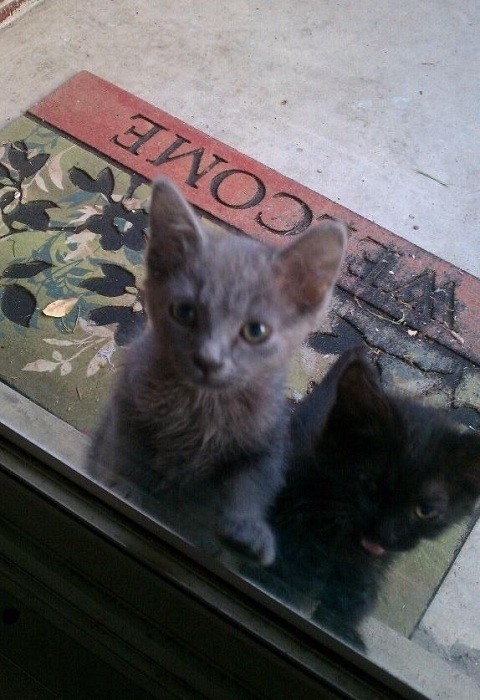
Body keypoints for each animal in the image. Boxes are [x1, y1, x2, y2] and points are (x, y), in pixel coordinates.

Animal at [87, 177, 347, 565]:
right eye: (184, 312)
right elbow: (126, 447)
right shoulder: (129, 398)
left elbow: (253, 482)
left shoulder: (269, 436)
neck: (201, 406)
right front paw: (124, 485)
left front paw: (246, 530)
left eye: (255, 331)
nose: (209, 359)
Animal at [242, 346, 480, 649]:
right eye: (368, 483)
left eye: (425, 511)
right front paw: (281, 584)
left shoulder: (375, 560)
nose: (383, 532)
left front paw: (341, 626)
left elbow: (359, 584)